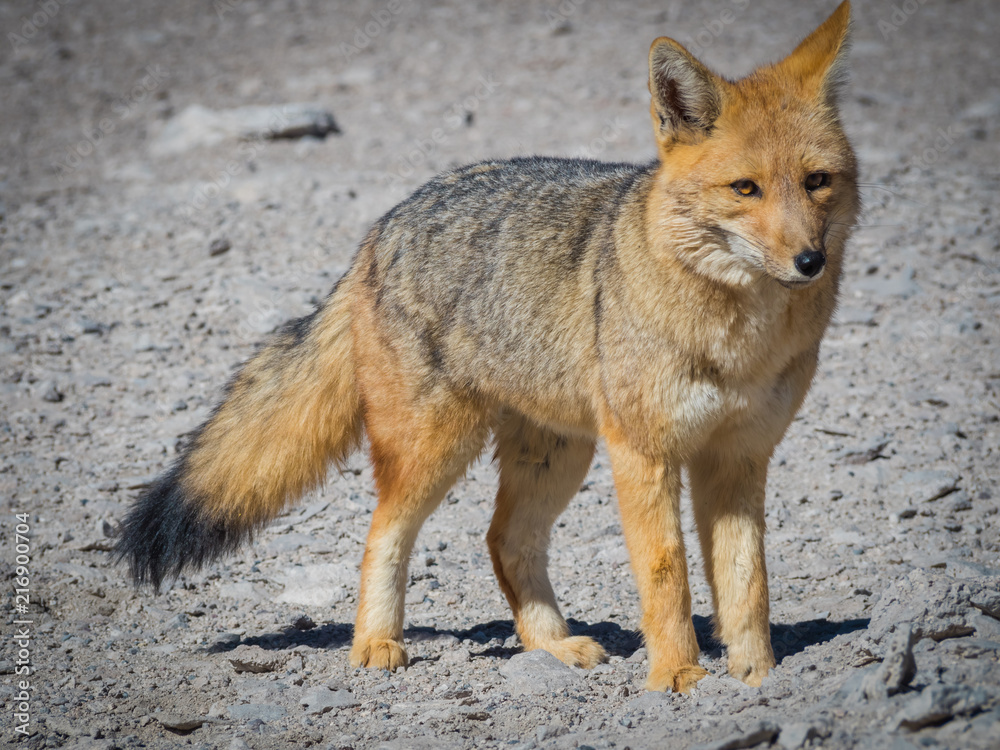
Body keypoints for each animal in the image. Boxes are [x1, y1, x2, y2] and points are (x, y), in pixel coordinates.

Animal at [116, 2, 859, 693]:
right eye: (746, 189)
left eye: (816, 181)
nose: (809, 261)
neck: (740, 339)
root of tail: (380, 228)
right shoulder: (644, 453)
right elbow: (666, 574)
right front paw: (678, 677)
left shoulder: (738, 457)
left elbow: (747, 582)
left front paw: (759, 677)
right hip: (439, 448)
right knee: (382, 536)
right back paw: (376, 643)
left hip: (557, 454)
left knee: (504, 540)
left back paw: (551, 646)